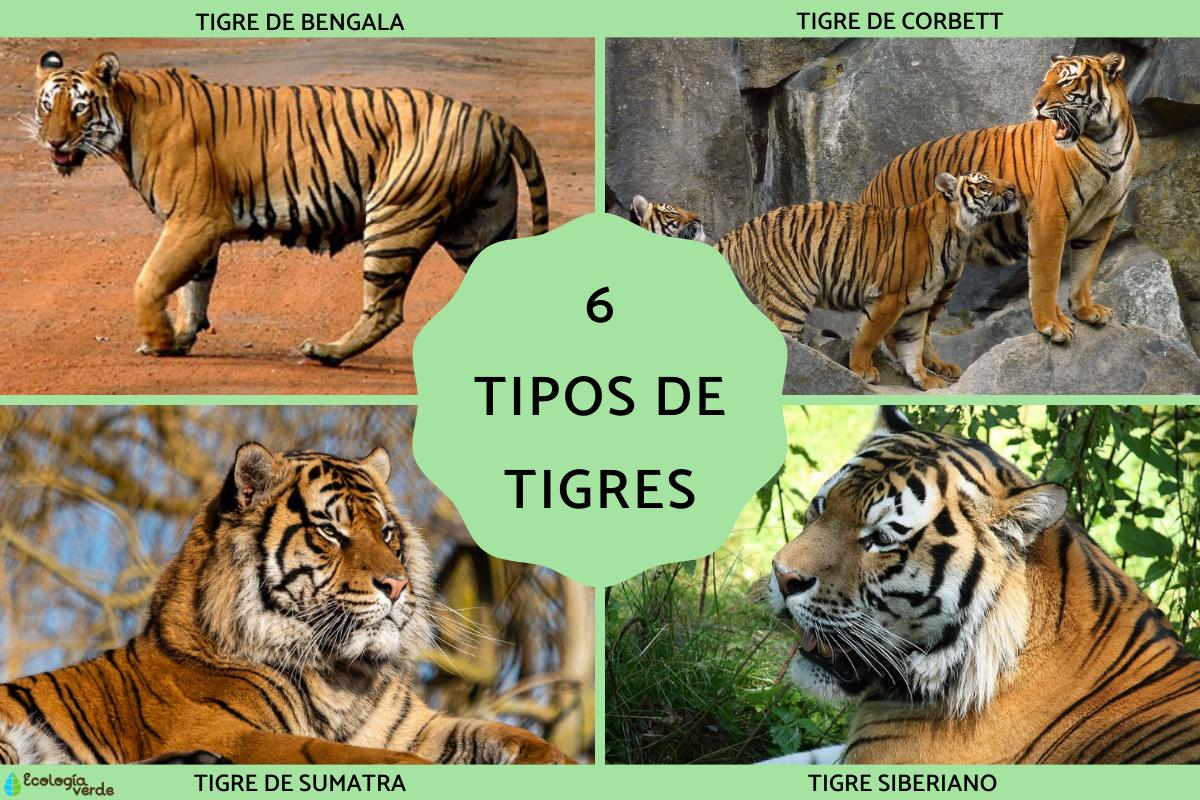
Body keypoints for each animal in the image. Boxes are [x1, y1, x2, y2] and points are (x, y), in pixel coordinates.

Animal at [0, 444, 570, 765]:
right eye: (330, 532)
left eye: (387, 532)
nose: (397, 585)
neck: (342, 674)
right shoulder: (234, 733)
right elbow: (346, 754)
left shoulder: (413, 727)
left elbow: (511, 734)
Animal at [28, 50, 550, 365]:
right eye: (46, 105)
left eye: (79, 107)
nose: (53, 142)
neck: (128, 115)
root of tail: (492, 117)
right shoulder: (198, 228)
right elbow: (194, 289)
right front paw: (180, 339)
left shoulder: (195, 220)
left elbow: (151, 280)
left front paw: (157, 341)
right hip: (479, 230)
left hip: (395, 218)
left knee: (386, 309)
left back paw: (328, 352)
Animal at [628, 173, 1020, 390]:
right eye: (985, 182)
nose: (1014, 188)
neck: (959, 233)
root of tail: (738, 234)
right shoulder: (890, 298)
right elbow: (869, 336)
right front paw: (862, 370)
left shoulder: (916, 307)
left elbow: (911, 346)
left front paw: (925, 379)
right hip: (790, 298)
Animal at [859, 52, 1139, 375]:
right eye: (1045, 80)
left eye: (1066, 81)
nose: (1037, 104)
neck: (1106, 140)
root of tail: (869, 188)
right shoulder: (1050, 218)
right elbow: (1047, 277)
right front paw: (1051, 325)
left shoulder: (1102, 221)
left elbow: (1086, 269)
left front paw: (1086, 310)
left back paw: (937, 366)